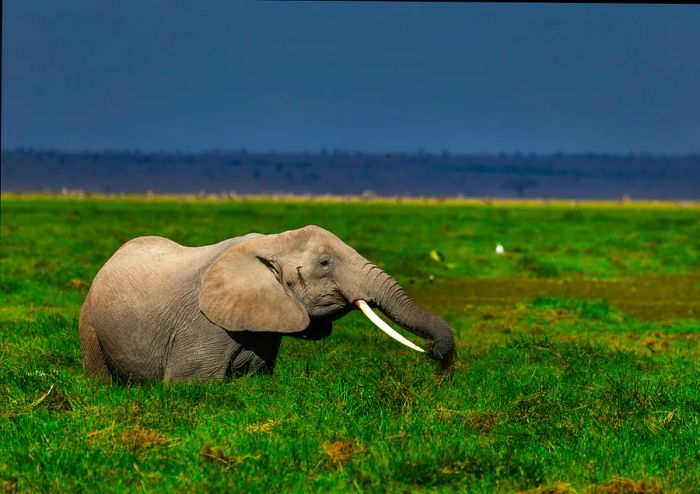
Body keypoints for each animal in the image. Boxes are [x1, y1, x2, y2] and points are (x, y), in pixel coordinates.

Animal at [79, 225, 456, 382]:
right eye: (324, 264)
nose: (433, 353)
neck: (272, 241)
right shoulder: (202, 325)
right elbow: (192, 384)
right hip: (89, 322)